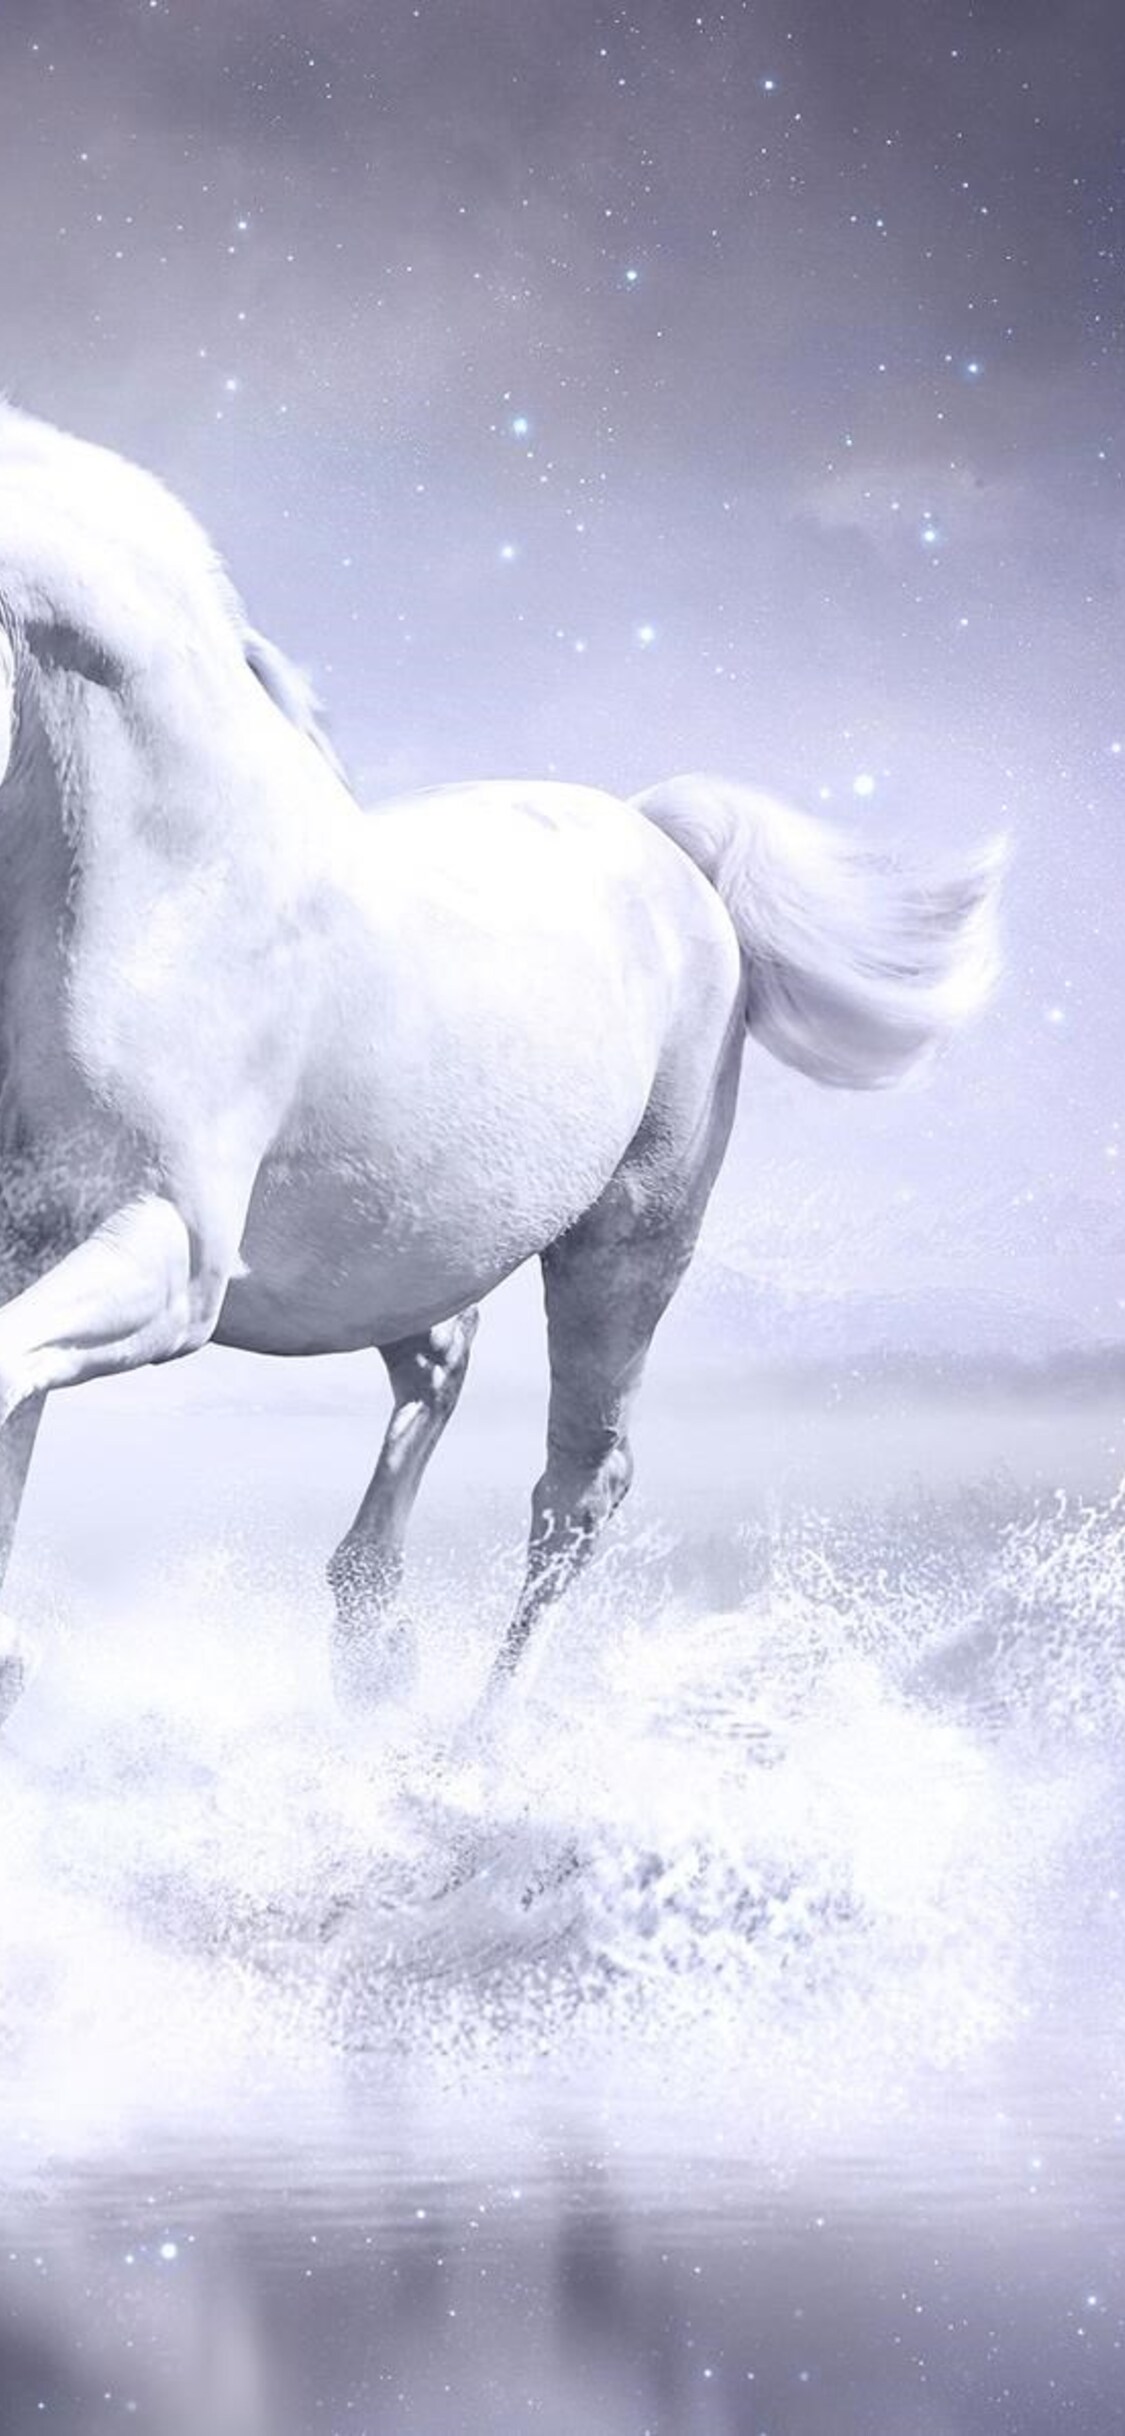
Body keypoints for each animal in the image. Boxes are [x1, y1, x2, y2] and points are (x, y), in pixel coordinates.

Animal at [0, 404, 1004, 1725]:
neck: (163, 889)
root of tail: (660, 839)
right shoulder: (30, 1242)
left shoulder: (167, 1255)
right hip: (401, 1239)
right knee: (442, 1363)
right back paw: (375, 1647)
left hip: (628, 1246)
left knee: (578, 1486)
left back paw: (473, 1742)